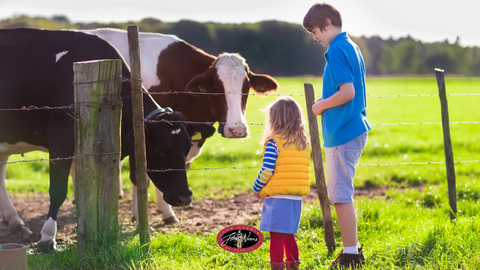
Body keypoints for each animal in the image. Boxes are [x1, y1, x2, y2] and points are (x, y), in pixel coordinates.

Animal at [0, 28, 214, 252]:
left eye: (187, 147)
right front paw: (47, 237)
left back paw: (15, 222)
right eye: (159, 150)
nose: (185, 197)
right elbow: (58, 191)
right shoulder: (61, 139)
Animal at [81, 28, 278, 225]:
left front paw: (167, 212)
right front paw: (140, 217)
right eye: (215, 89)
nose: (237, 130)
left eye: (246, 88)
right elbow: (142, 176)